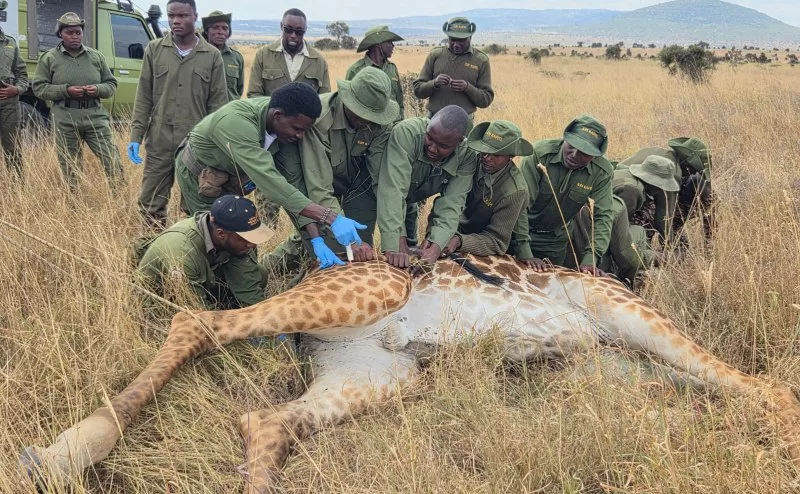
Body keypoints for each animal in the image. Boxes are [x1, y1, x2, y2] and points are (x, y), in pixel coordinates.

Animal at [20, 255, 800, 493]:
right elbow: (769, 388)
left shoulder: (614, 377)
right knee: (195, 322)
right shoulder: (622, 311)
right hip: (372, 292)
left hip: (378, 372)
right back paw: (62, 454)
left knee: (265, 419)